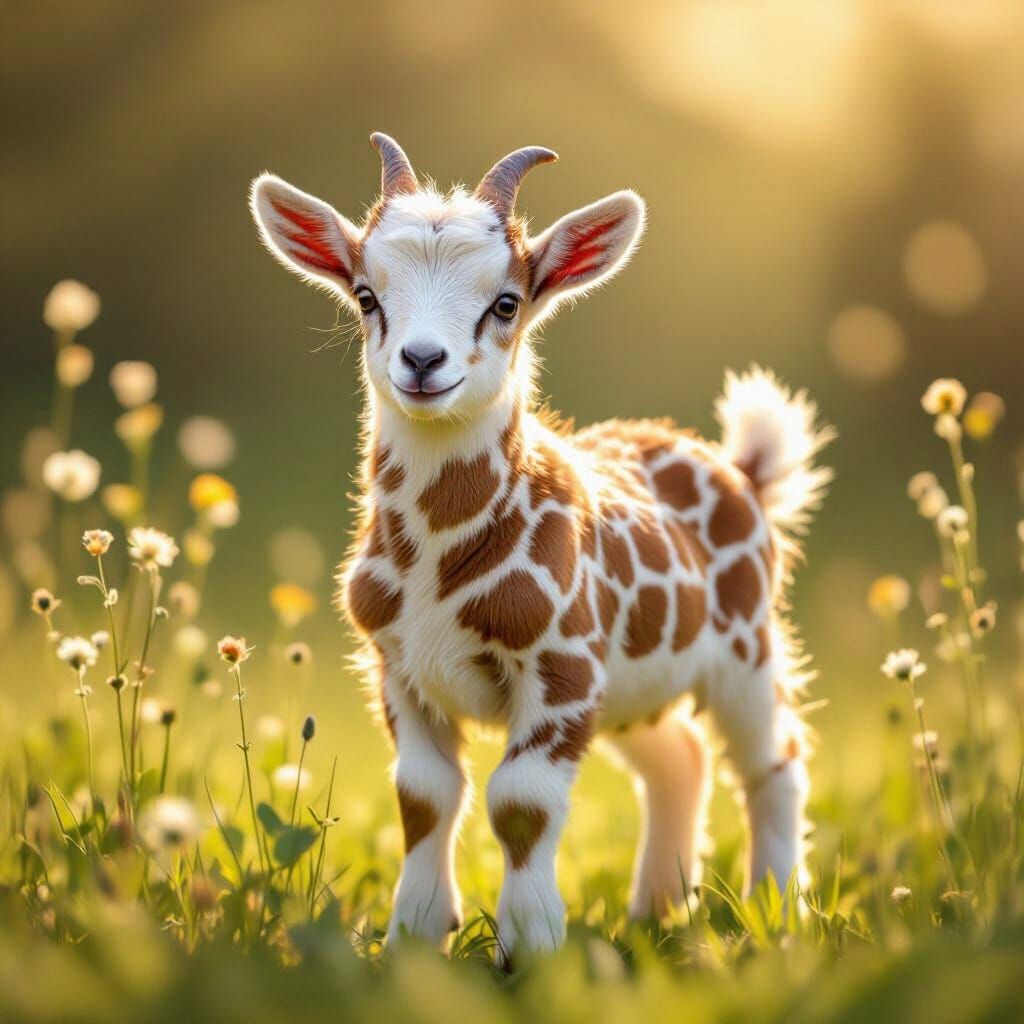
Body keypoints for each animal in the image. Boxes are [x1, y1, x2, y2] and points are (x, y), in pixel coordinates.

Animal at [250, 134, 833, 959]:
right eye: (366, 295)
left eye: (506, 302)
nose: (422, 362)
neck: (438, 551)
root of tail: (742, 469)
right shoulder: (398, 668)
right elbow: (424, 796)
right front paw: (415, 935)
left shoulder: (562, 668)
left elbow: (519, 800)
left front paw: (532, 946)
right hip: (638, 686)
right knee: (679, 759)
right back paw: (656, 913)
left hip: (745, 647)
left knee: (772, 765)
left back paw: (776, 912)